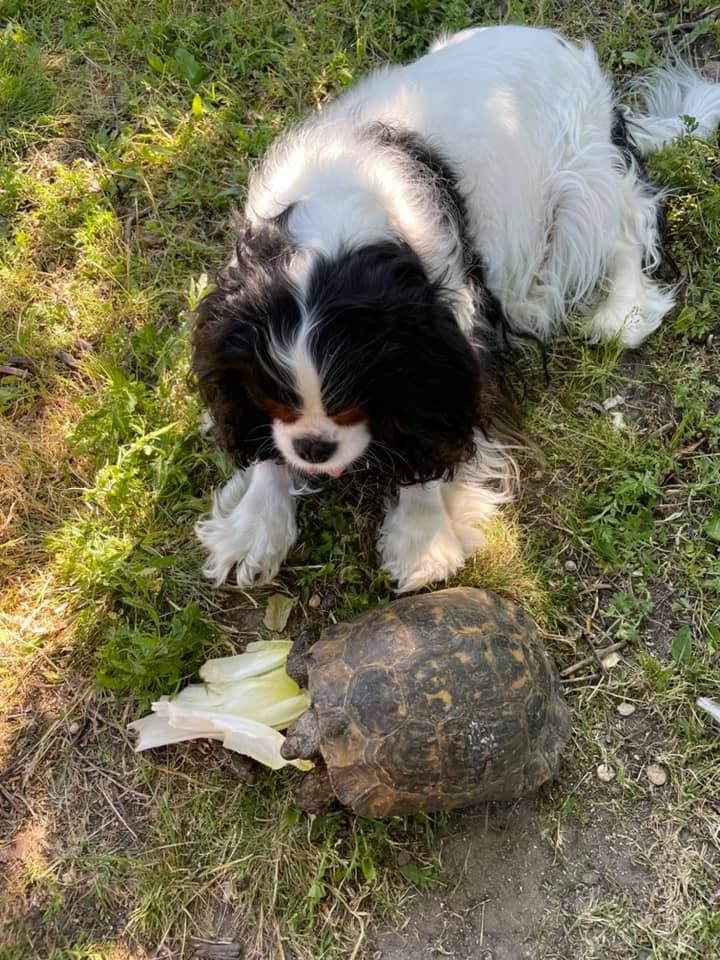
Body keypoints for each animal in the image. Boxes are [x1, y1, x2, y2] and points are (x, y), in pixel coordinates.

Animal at [190, 24, 720, 592]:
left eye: (356, 403)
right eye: (276, 399)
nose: (314, 449)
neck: (338, 219)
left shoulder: (448, 342)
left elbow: (435, 445)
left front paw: (423, 542)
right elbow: (263, 446)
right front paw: (253, 528)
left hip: (584, 179)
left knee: (628, 231)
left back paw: (621, 312)